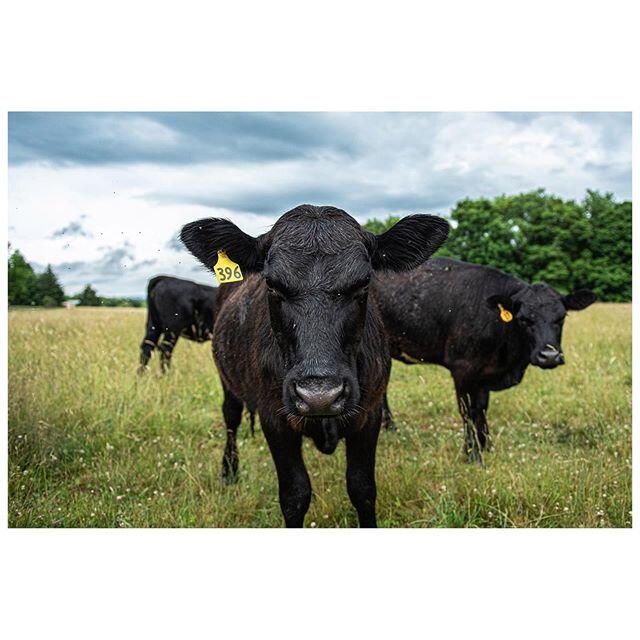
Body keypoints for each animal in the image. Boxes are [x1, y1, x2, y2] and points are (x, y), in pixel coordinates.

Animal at [180, 205, 450, 524]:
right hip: (227, 381)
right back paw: (229, 472)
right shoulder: (275, 418)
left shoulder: (369, 414)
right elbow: (295, 495)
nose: (319, 396)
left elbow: (363, 489)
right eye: (271, 284)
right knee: (231, 419)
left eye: (364, 282)